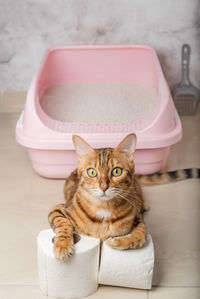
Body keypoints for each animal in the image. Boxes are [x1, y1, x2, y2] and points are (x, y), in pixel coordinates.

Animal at [48, 134, 148, 262]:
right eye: (92, 172)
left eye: (117, 171)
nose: (104, 187)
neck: (104, 208)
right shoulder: (58, 209)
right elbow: (63, 223)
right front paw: (62, 245)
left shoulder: (137, 217)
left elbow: (141, 235)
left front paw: (117, 241)